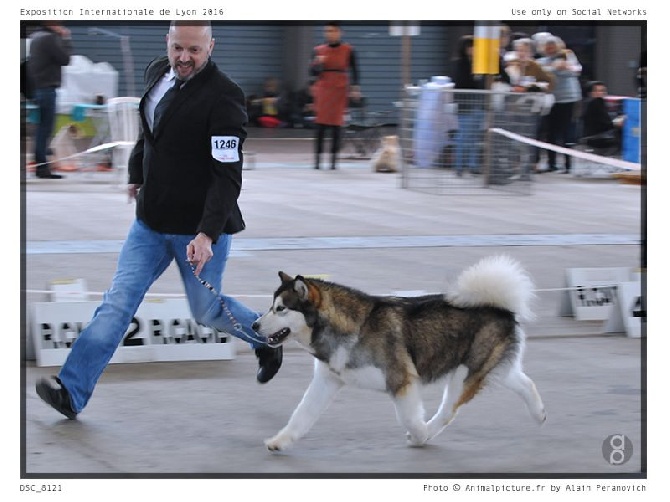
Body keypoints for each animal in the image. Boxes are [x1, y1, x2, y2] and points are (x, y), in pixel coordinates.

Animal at [255, 255, 548, 452]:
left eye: (281, 309)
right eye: (271, 306)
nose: (254, 325)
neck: (354, 327)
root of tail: (501, 307)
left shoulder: (401, 379)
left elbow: (408, 418)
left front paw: (419, 435)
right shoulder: (327, 380)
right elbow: (301, 415)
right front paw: (281, 441)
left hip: (464, 374)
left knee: (448, 411)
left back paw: (429, 432)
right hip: (489, 367)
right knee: (525, 383)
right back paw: (539, 413)